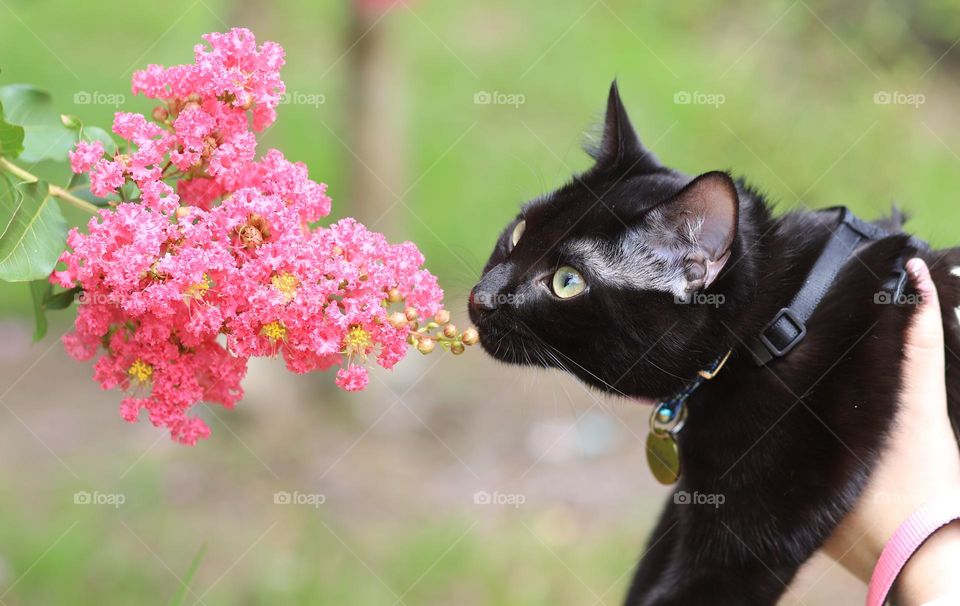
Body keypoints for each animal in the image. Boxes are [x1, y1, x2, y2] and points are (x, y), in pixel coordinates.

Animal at [468, 81, 960, 606]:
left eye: (566, 282)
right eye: (520, 230)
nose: (481, 296)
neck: (774, 328)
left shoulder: (743, 547)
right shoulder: (693, 495)